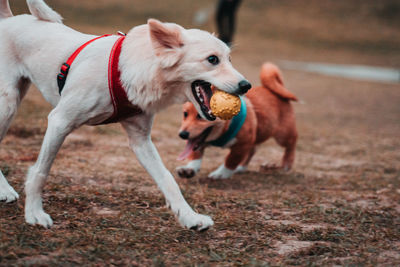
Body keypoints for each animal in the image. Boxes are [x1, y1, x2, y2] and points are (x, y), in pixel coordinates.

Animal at [0, 0, 250, 231]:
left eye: (229, 59)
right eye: (212, 59)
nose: (246, 85)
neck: (129, 70)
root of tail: (8, 20)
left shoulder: (140, 140)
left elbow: (167, 180)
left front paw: (190, 218)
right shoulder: (59, 122)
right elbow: (41, 171)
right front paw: (34, 213)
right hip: (8, 105)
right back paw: (6, 190)